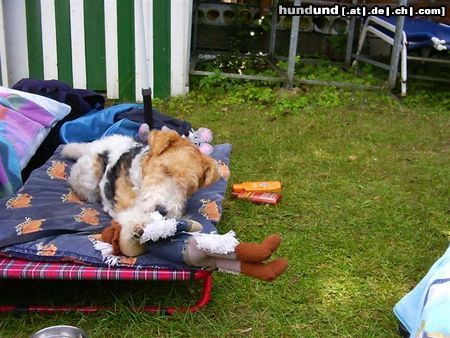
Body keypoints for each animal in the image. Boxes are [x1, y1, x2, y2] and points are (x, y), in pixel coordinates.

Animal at [61, 129, 220, 256]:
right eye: (165, 169)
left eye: (190, 186)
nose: (162, 210)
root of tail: (96, 144)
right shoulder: (126, 209)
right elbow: (134, 218)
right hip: (88, 179)